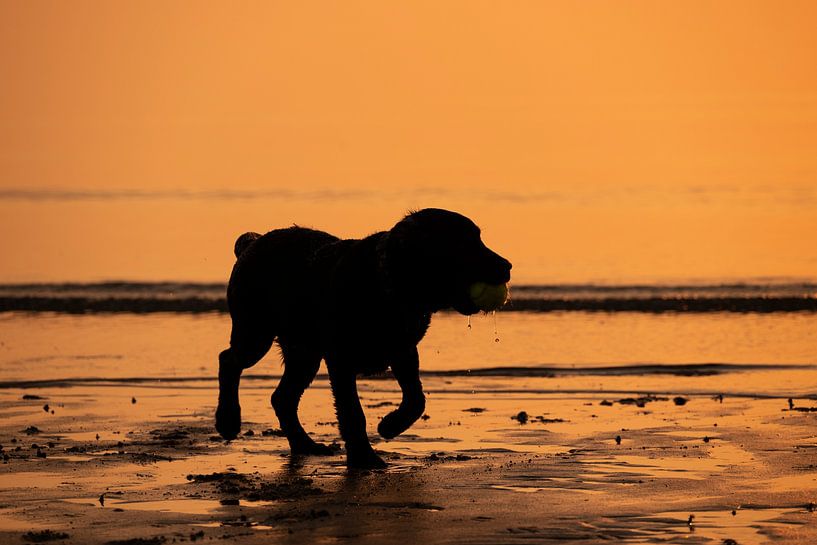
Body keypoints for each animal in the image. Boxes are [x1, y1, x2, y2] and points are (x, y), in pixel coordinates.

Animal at [217, 208, 510, 468]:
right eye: (465, 244)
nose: (508, 266)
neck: (389, 288)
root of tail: (251, 244)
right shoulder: (341, 359)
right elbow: (352, 412)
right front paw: (364, 458)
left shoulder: (404, 352)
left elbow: (416, 399)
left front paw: (390, 425)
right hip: (256, 332)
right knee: (229, 360)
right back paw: (228, 420)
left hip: (304, 353)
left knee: (283, 397)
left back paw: (305, 445)